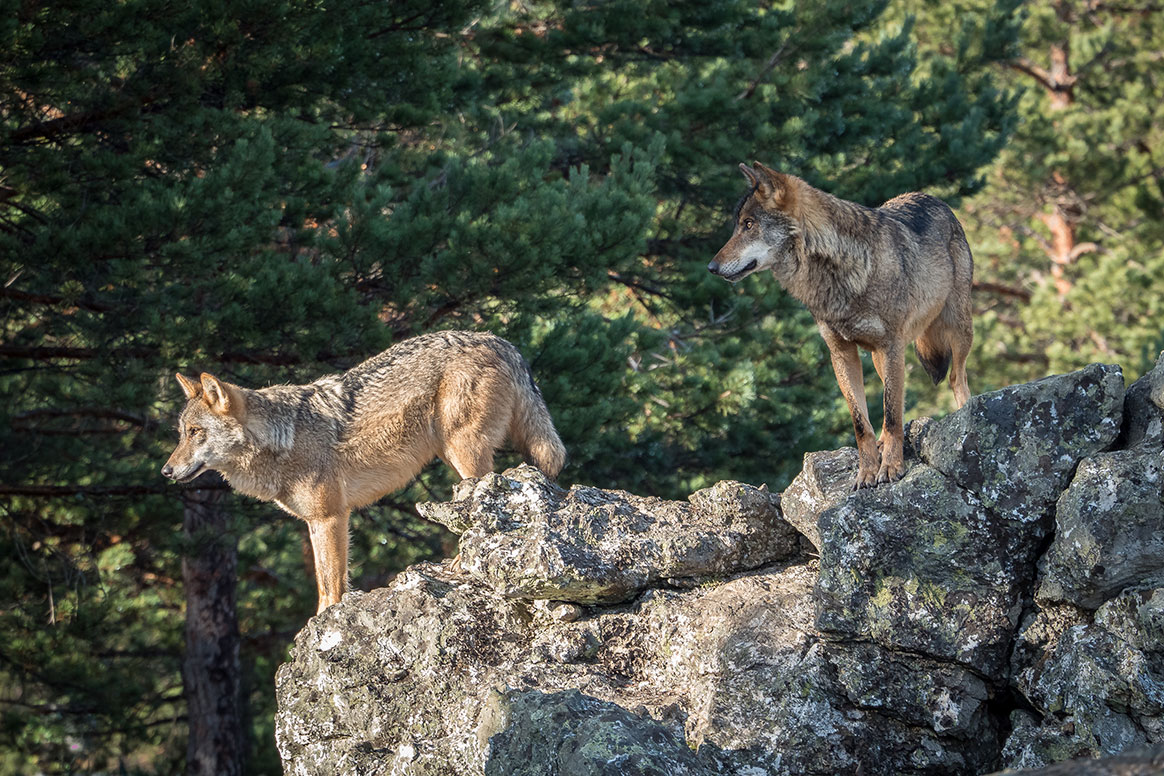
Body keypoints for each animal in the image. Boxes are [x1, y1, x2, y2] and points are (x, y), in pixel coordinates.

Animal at [160, 330, 568, 614]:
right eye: (180, 433)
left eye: (195, 432)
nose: (166, 471)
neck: (284, 438)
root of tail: (499, 340)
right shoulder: (315, 522)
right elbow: (325, 582)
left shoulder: (331, 517)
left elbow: (333, 584)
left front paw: (324, 625)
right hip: (450, 453)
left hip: (463, 451)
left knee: (481, 502)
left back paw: (460, 563)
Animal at [707, 162, 973, 488]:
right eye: (740, 224)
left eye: (748, 224)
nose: (711, 268)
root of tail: (931, 197)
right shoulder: (842, 353)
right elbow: (862, 423)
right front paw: (867, 472)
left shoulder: (892, 346)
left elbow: (893, 415)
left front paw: (891, 467)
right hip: (880, 357)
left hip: (957, 329)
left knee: (956, 378)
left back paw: (964, 417)